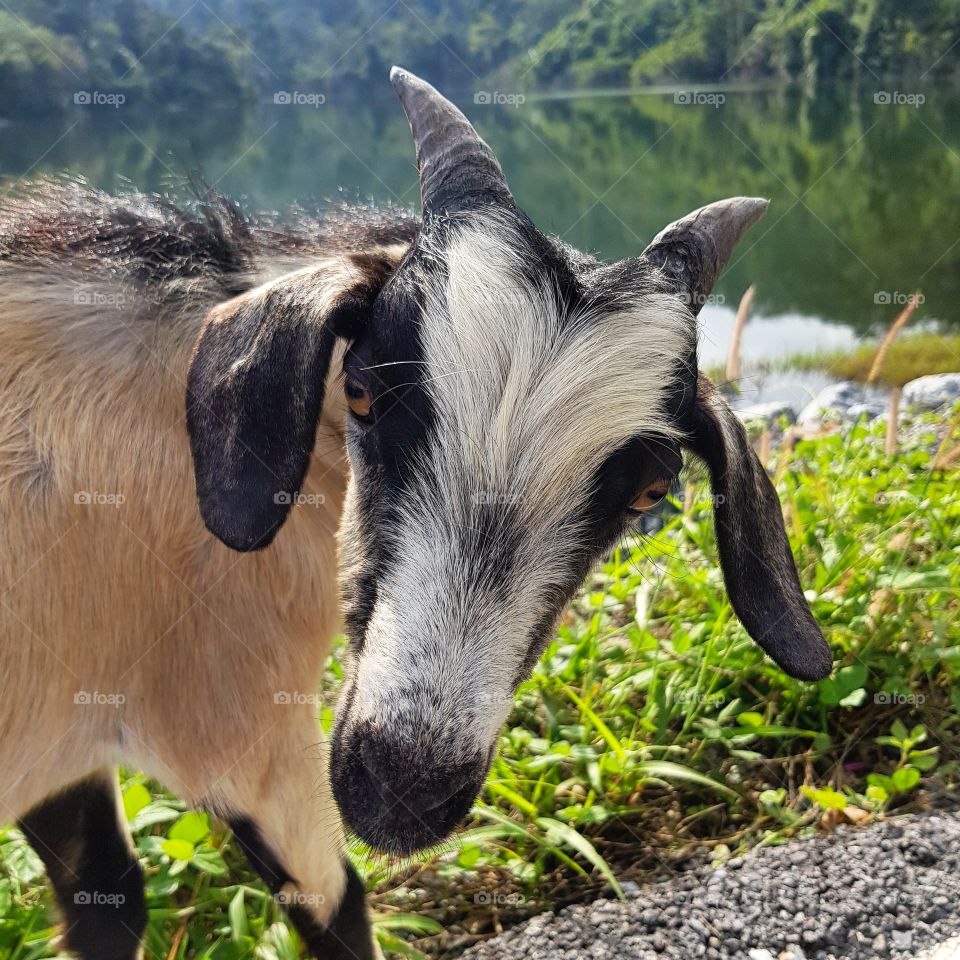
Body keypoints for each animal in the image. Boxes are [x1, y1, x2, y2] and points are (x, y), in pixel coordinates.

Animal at [0, 68, 831, 960]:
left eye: (650, 491)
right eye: (361, 392)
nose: (403, 789)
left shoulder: (71, 743)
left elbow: (106, 896)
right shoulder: (240, 722)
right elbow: (334, 908)